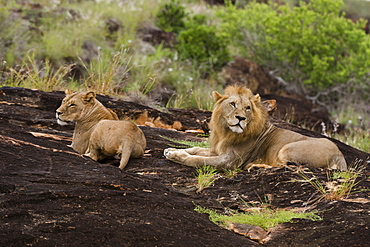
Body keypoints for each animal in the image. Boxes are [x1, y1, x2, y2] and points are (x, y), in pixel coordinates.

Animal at [165, 85, 346, 170]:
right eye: (232, 104)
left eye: (247, 108)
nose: (240, 118)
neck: (226, 133)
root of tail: (340, 155)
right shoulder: (218, 150)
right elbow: (196, 149)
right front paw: (172, 150)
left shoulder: (229, 161)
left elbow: (198, 160)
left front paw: (177, 156)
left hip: (287, 148)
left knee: (287, 166)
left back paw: (255, 166)